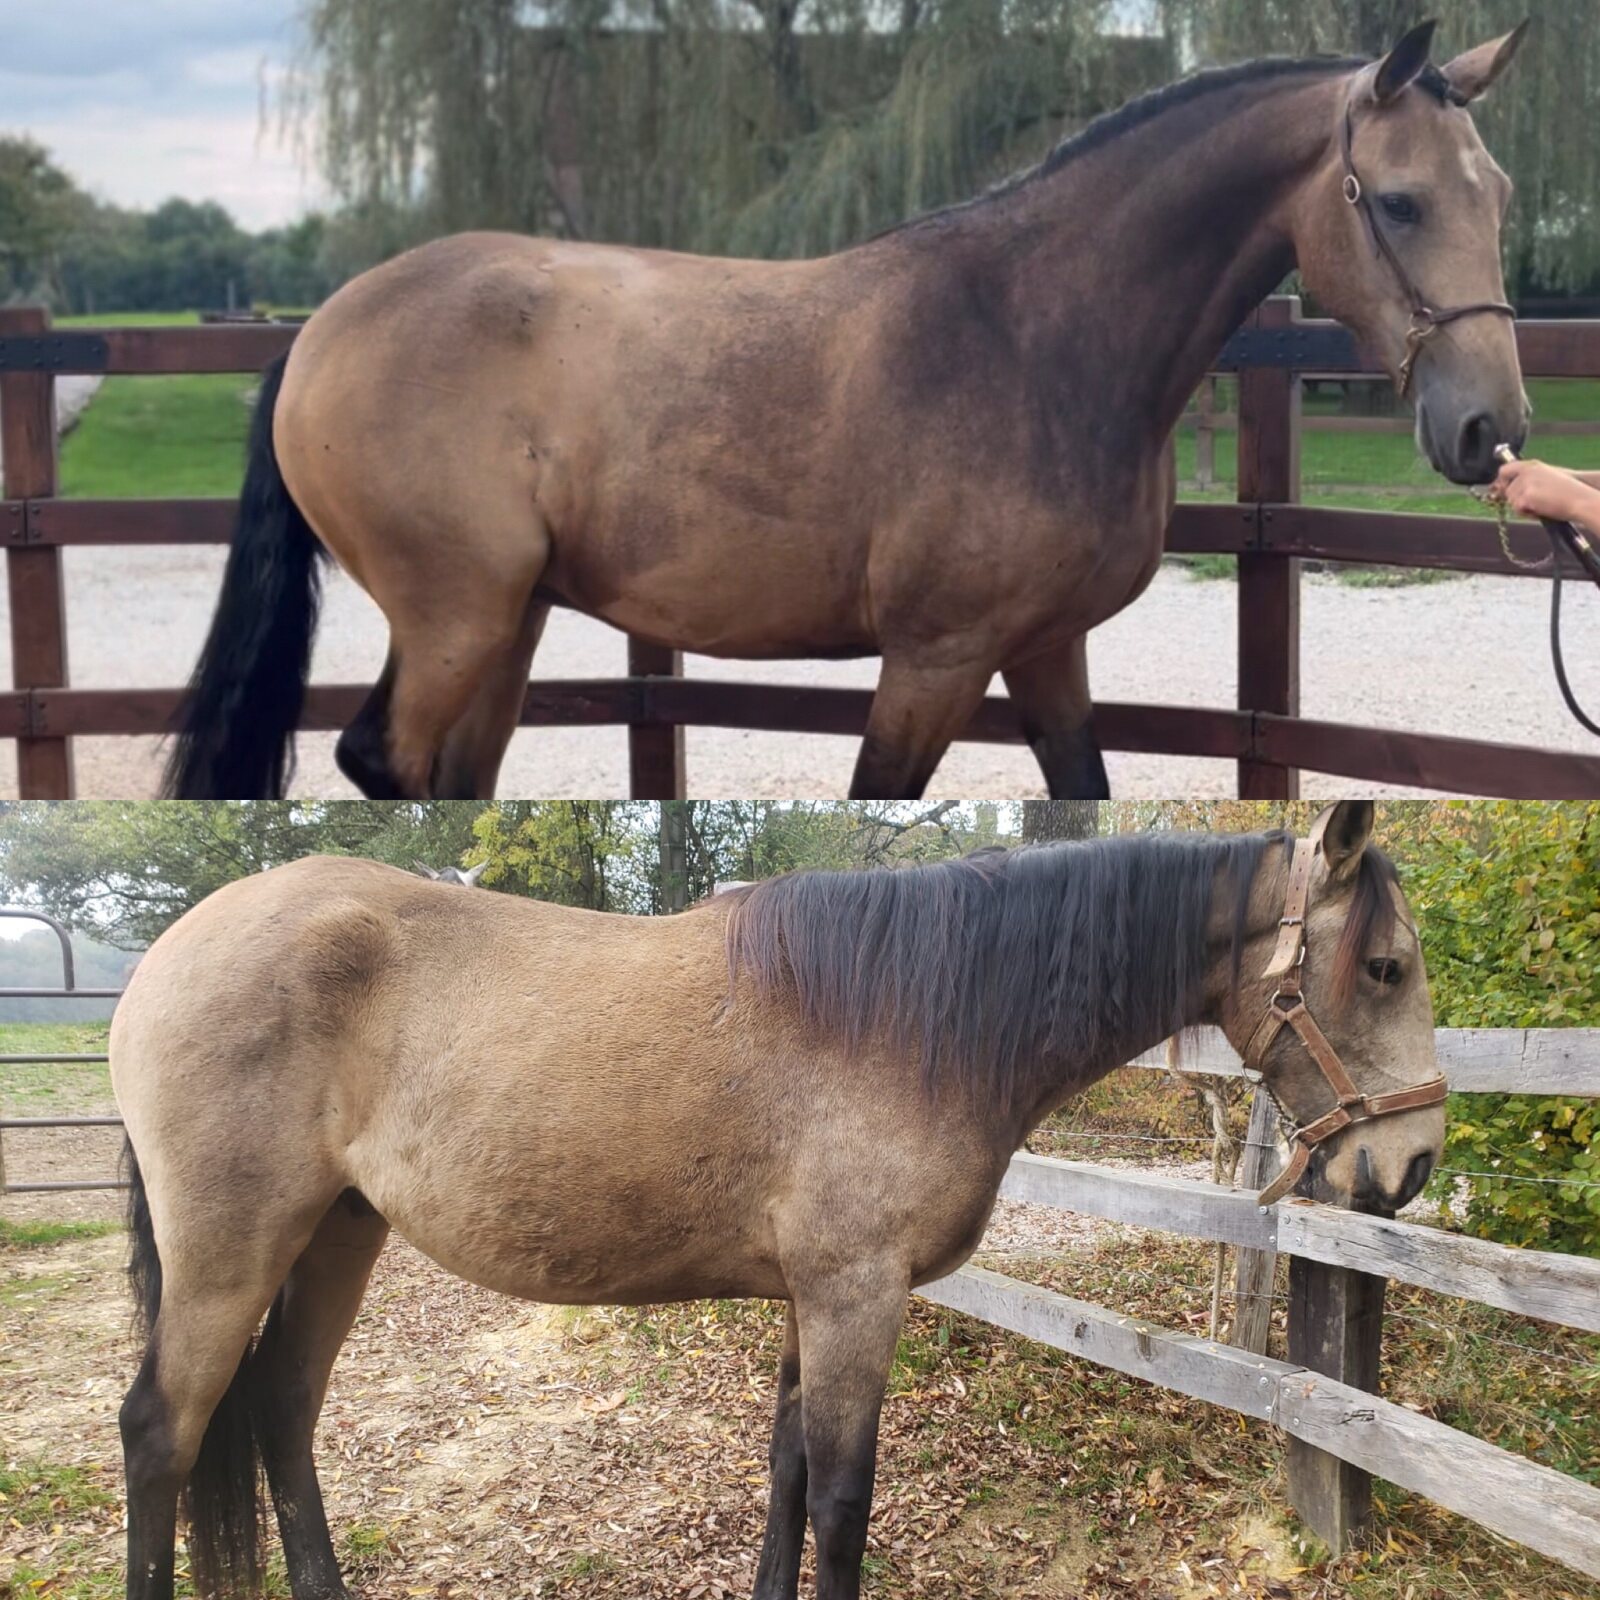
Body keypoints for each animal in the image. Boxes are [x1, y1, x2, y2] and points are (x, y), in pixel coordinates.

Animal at [111, 801, 1446, 1600]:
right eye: (1384, 966)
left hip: (338, 1232)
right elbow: (844, 1496)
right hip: (231, 1248)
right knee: (162, 1432)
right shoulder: (857, 1295)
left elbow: (788, 1471)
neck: (907, 1016)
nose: (1414, 1165)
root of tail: (170, 952)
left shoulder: (815, 1297)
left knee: (281, 1412)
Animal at [160, 23, 1530, 804]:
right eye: (1397, 201)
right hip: (457, 615)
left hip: (509, 619)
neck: (1030, 336)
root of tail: (320, 329)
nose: (1487, 430)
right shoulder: (933, 657)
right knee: (381, 765)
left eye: (1500, 191)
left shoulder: (1046, 649)